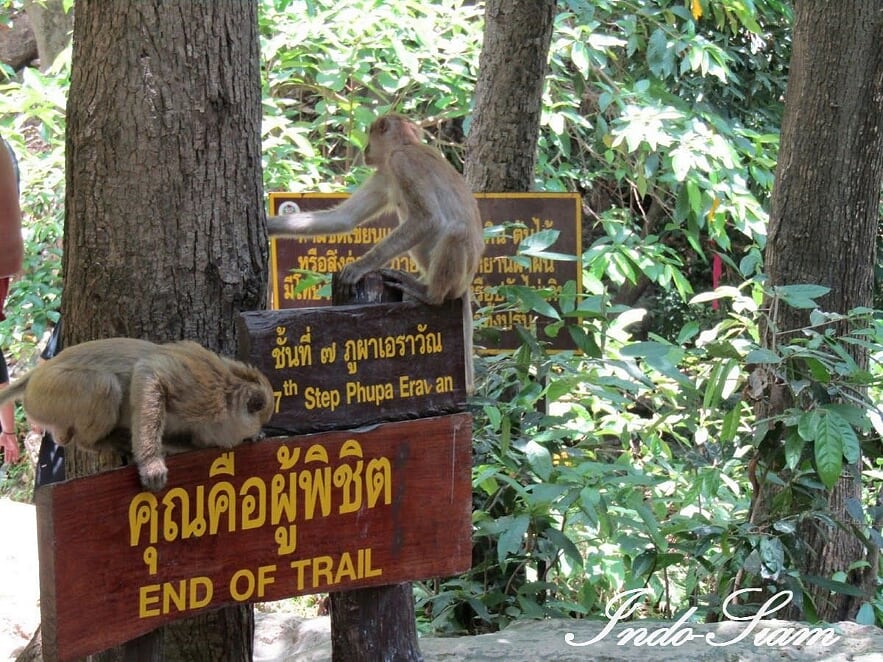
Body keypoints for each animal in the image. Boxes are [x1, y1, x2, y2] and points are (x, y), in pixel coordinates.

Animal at [0, 340, 276, 490]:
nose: (255, 434)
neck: (227, 390)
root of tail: (36, 375)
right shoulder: (203, 393)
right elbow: (149, 372)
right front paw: (151, 463)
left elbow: (192, 442)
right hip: (49, 392)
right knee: (104, 385)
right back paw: (90, 440)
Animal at [270, 113, 486, 394]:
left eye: (370, 135)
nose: (365, 150)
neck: (405, 144)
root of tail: (467, 282)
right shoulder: (384, 174)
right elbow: (343, 219)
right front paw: (267, 225)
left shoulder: (401, 164)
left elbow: (428, 219)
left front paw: (360, 266)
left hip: (460, 271)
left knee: (455, 231)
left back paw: (430, 293)